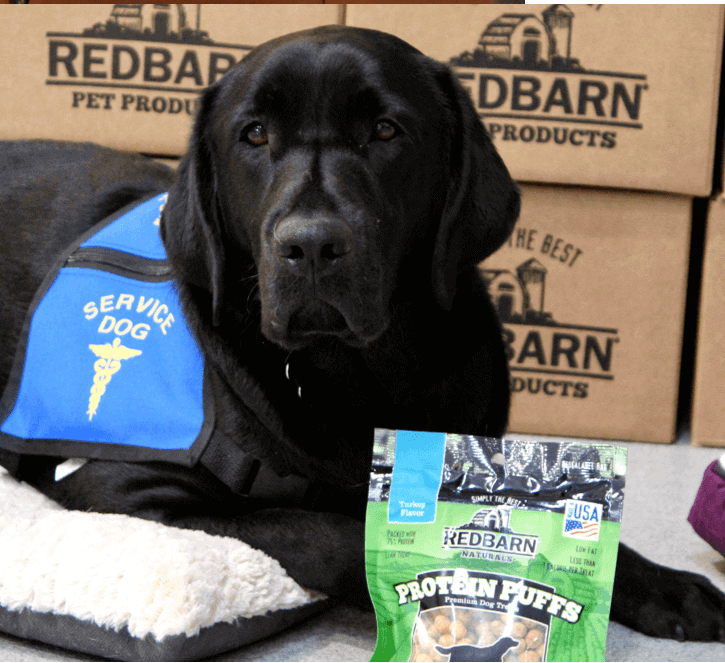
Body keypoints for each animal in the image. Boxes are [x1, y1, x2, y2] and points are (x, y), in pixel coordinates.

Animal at [1, 25, 724, 643]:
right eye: (254, 134)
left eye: (384, 129)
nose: (312, 245)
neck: (363, 375)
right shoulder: (118, 491)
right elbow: (330, 532)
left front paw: (665, 586)